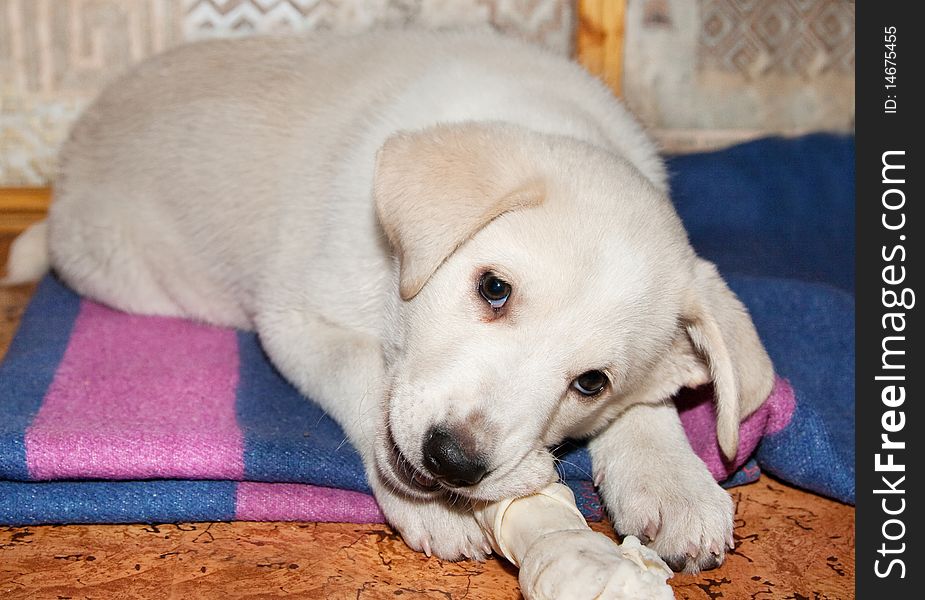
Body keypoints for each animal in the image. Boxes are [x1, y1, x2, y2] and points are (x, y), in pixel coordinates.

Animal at [14, 29, 772, 572]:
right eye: (493, 288)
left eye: (591, 383)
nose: (454, 461)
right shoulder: (294, 319)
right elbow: (362, 371)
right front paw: (437, 509)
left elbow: (650, 406)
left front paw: (673, 484)